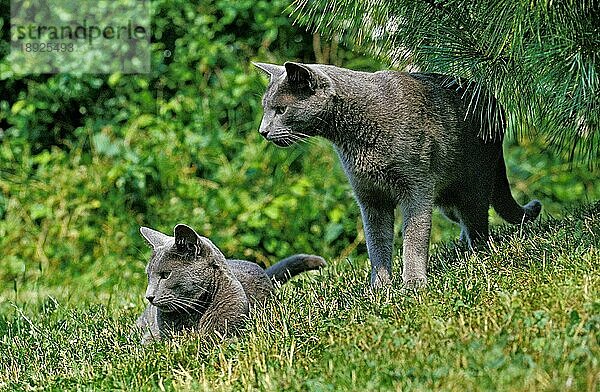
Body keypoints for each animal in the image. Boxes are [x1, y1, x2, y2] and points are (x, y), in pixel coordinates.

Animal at [254, 61, 544, 288]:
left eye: (281, 110)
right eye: (265, 108)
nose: (263, 131)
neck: (353, 137)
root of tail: (496, 104)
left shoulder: (417, 188)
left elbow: (414, 237)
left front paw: (413, 283)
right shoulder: (370, 197)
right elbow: (377, 242)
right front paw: (380, 287)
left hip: (473, 184)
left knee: (478, 221)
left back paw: (477, 254)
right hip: (448, 201)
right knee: (464, 218)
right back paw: (462, 246)